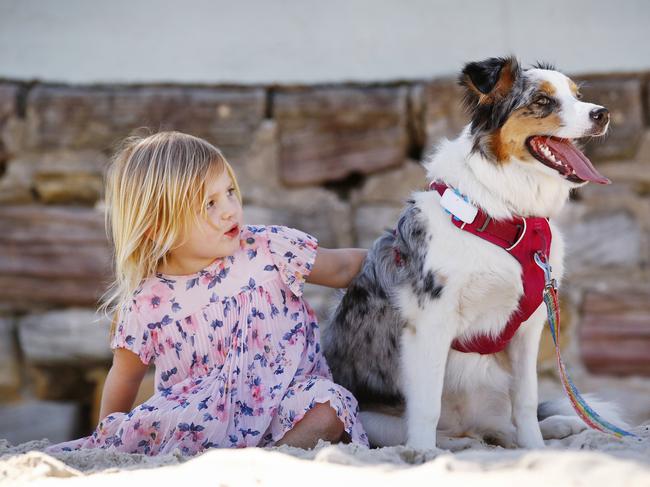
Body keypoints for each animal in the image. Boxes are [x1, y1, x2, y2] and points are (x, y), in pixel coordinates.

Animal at [322, 57, 620, 450]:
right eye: (542, 101)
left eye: (577, 96)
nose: (603, 113)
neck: (505, 216)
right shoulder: (431, 321)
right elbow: (427, 405)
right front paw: (423, 454)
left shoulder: (529, 327)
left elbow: (526, 402)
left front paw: (537, 449)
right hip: (371, 419)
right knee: (446, 433)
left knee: (500, 425)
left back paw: (557, 425)